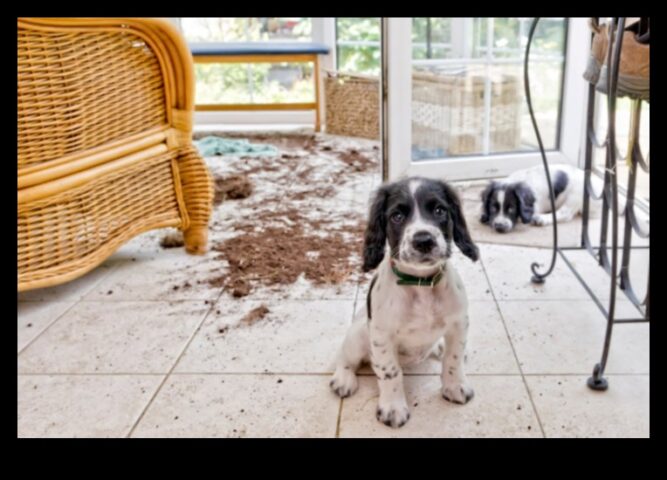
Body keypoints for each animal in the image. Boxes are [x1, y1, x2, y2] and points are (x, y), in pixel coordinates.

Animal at [330, 175, 480, 428]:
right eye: (397, 216)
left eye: (440, 210)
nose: (424, 240)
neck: (421, 285)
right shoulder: (382, 335)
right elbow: (390, 372)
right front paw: (393, 408)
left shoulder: (460, 323)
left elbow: (454, 358)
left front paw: (455, 387)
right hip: (358, 334)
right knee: (344, 356)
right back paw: (343, 379)